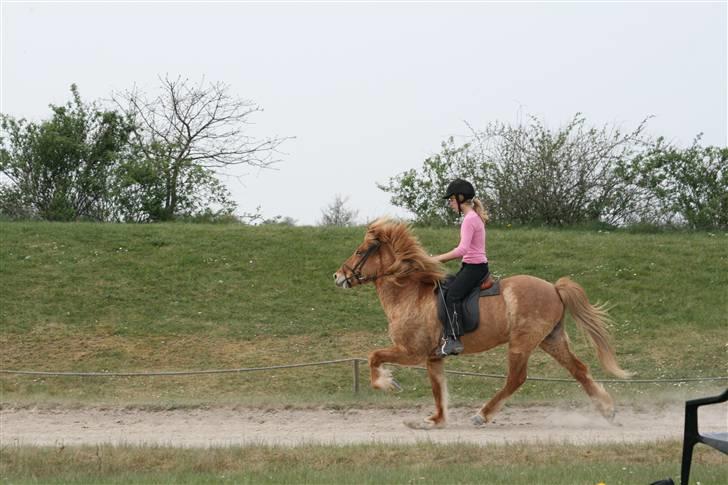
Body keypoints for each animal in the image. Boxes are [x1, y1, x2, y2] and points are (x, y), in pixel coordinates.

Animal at [332, 218, 628, 428]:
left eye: (359, 251)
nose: (337, 276)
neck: (409, 293)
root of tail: (554, 288)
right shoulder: (433, 357)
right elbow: (438, 389)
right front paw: (435, 420)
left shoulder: (412, 351)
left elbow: (373, 357)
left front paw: (387, 383)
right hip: (551, 340)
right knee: (579, 370)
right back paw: (607, 410)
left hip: (522, 343)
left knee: (517, 378)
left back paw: (482, 415)